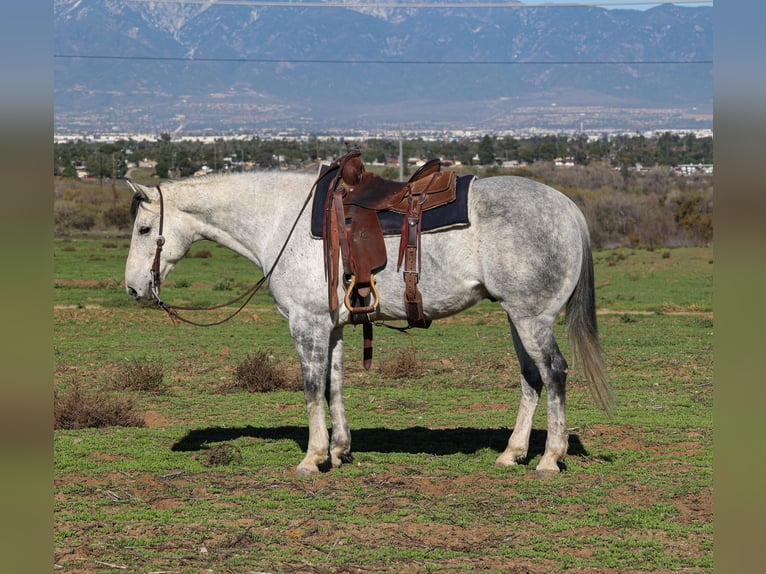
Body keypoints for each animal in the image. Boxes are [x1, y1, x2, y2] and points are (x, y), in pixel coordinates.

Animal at [124, 168, 614, 478]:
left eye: (145, 230)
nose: (133, 288)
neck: (281, 220)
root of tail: (566, 207)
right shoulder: (335, 325)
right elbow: (334, 384)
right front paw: (339, 451)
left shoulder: (307, 323)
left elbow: (310, 386)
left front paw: (313, 458)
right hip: (517, 317)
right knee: (532, 379)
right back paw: (512, 454)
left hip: (533, 319)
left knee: (555, 373)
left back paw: (549, 459)